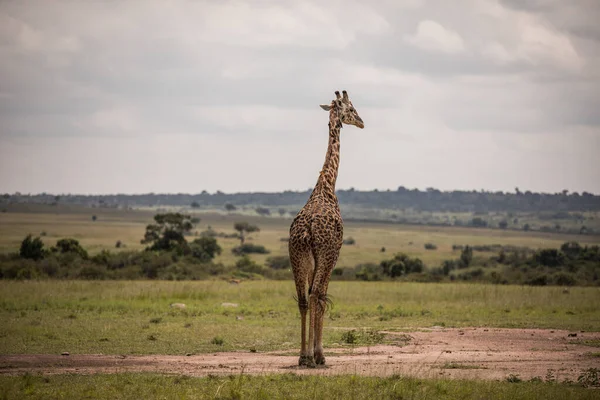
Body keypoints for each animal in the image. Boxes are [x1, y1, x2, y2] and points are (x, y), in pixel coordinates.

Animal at [288, 89, 364, 368]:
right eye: (351, 109)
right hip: (325, 256)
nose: (362, 122)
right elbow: (322, 297)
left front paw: (310, 352)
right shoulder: (334, 255)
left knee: (302, 298)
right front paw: (320, 353)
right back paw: (313, 356)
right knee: (315, 295)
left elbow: (311, 298)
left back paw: (302, 356)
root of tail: (307, 231)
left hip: (297, 257)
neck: (327, 184)